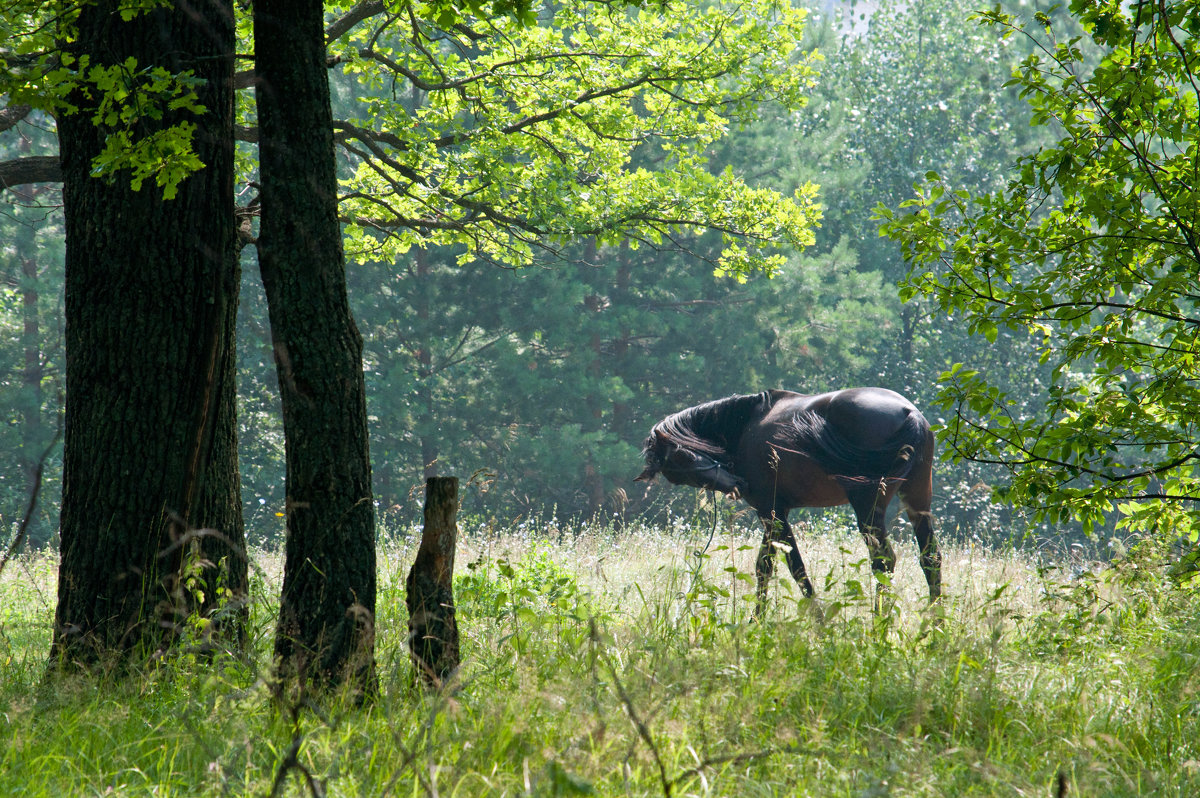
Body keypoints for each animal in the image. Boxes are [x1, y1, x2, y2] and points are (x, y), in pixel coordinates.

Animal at [643, 388, 940, 612]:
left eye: (681, 456)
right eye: (678, 464)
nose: (736, 484)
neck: (745, 424)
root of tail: (909, 412)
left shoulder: (770, 511)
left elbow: (795, 566)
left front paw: (818, 620)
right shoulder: (774, 512)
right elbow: (764, 567)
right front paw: (757, 621)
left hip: (868, 508)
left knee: (883, 561)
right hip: (917, 502)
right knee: (931, 559)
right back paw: (935, 623)